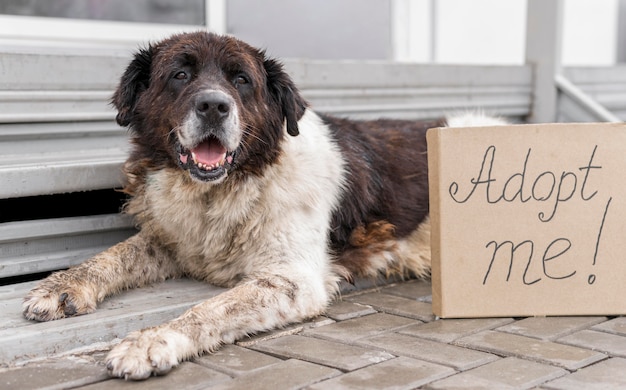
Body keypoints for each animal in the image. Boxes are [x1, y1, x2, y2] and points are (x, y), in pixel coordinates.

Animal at [22, 32, 504, 380]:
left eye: (241, 81)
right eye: (180, 74)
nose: (213, 105)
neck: (224, 191)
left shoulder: (292, 279)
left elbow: (210, 309)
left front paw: (151, 340)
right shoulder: (174, 240)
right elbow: (112, 255)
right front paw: (62, 286)